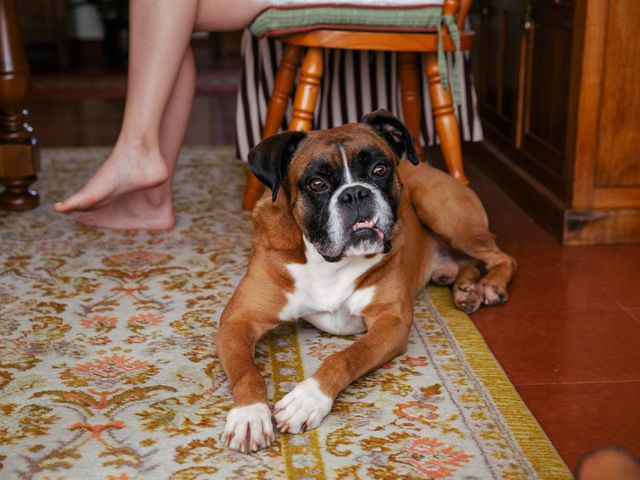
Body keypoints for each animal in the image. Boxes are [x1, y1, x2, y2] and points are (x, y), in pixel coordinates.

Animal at [218, 110, 516, 452]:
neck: (326, 260)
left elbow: (343, 357)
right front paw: (250, 414)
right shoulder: (238, 321)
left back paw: (489, 286)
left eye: (379, 169)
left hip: (443, 212)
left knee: (502, 257)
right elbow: (246, 371)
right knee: (470, 262)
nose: (355, 193)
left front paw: (308, 398)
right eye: (317, 183)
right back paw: (466, 289)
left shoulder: (391, 323)